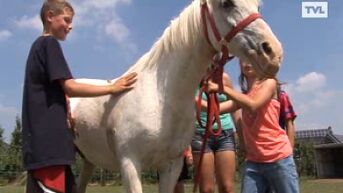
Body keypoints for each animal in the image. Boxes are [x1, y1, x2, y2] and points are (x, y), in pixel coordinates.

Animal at [71, 0, 284, 193]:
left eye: (258, 6)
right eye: (226, 3)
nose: (273, 53)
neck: (161, 98)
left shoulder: (172, 166)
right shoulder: (130, 164)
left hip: (88, 161)